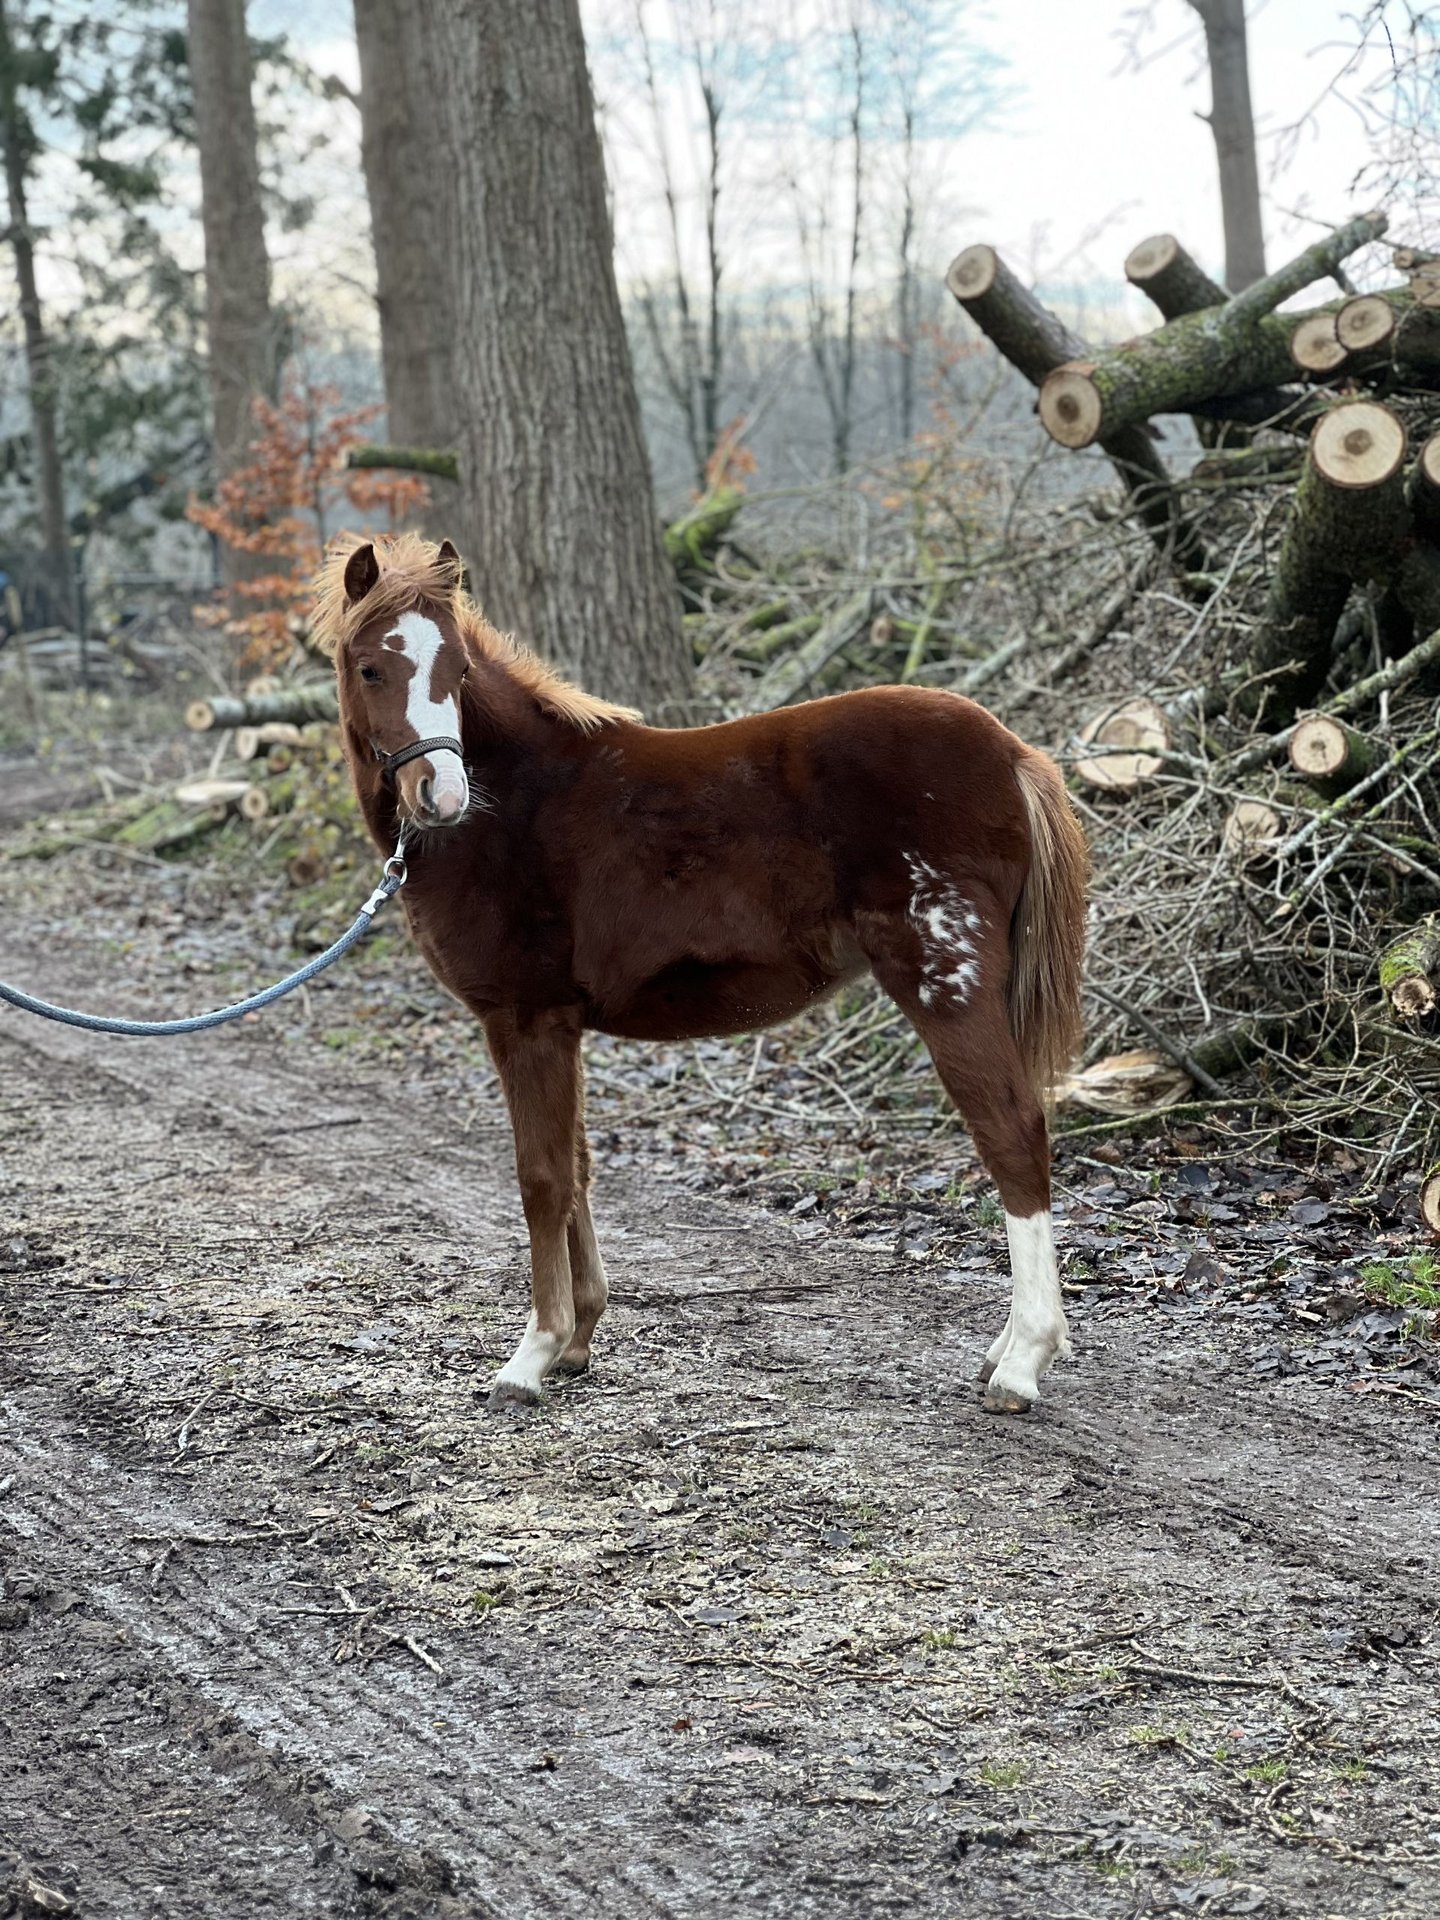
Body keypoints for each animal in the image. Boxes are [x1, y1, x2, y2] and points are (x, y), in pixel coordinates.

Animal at [311, 533, 1090, 1420]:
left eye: (459, 672)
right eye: (371, 667)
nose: (441, 794)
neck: (516, 803)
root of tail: (1014, 752)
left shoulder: (525, 1019)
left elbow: (541, 1178)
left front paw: (530, 1355)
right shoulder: (560, 1026)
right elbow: (576, 1170)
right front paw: (578, 1339)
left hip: (946, 983)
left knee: (1013, 1136)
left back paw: (1023, 1364)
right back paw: (1006, 1349)